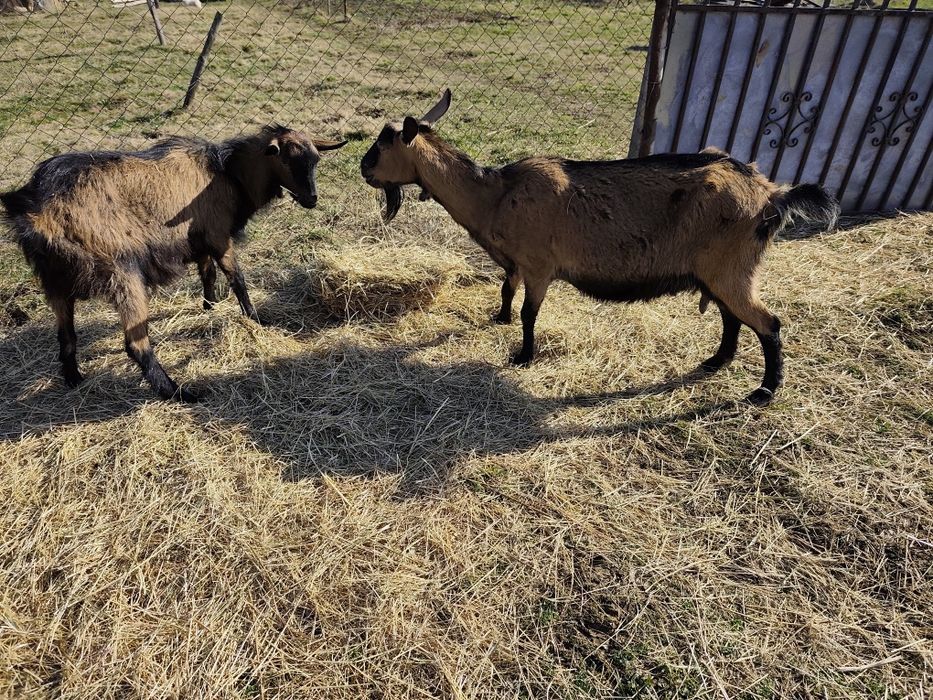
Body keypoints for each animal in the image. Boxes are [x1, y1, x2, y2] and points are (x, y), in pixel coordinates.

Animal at [2, 126, 346, 402]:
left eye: (315, 160)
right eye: (286, 159)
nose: (312, 199)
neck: (226, 173)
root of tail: (35, 211)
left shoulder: (199, 239)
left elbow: (208, 274)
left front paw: (209, 307)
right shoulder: (219, 235)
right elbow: (236, 278)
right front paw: (255, 318)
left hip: (55, 281)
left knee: (66, 335)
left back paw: (74, 379)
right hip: (122, 272)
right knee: (136, 343)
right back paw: (179, 393)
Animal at [360, 90, 839, 406]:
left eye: (382, 144)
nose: (363, 169)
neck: (496, 194)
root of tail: (771, 196)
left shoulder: (539, 265)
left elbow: (530, 313)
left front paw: (524, 356)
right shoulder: (515, 262)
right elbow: (505, 289)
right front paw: (499, 318)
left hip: (732, 267)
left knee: (768, 323)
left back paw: (764, 390)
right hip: (720, 271)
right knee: (731, 316)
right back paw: (715, 362)